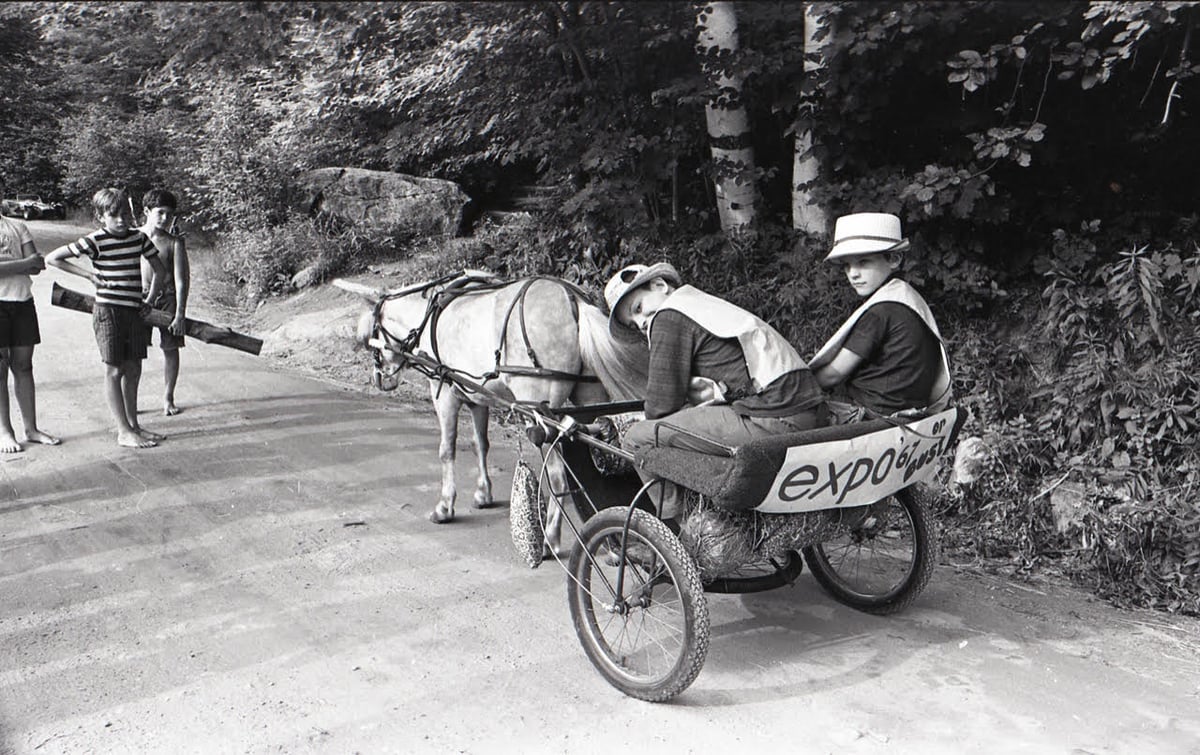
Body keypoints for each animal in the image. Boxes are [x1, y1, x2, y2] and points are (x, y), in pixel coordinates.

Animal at [338, 271, 648, 554]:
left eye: (372, 337)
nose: (380, 379)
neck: (428, 319)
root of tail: (572, 299)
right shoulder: (477, 398)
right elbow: (480, 444)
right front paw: (483, 493)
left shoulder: (445, 392)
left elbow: (446, 449)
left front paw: (444, 506)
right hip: (589, 400)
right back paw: (609, 544)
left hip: (541, 414)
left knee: (558, 474)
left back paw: (551, 537)